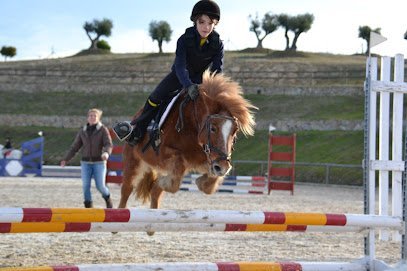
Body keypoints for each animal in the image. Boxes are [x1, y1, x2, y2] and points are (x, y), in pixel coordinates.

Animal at [118, 71, 258, 212]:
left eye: (235, 131)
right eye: (213, 128)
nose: (223, 167)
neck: (193, 128)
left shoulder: (206, 159)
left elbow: (209, 185)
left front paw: (202, 182)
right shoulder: (164, 154)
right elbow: (175, 175)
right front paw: (163, 182)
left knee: (155, 194)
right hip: (134, 162)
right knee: (126, 191)